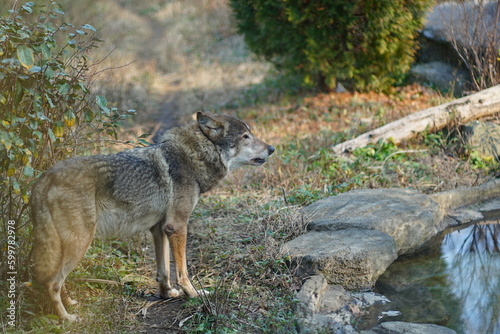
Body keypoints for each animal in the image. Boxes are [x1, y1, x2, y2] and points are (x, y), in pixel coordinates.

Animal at [31, 112, 276, 320]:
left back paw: (71, 304)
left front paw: (168, 294)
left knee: (58, 280)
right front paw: (193, 294)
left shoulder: (160, 228)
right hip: (80, 243)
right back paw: (67, 318)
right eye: (246, 136)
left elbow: (164, 270)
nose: (272, 148)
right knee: (52, 282)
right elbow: (183, 271)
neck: (193, 156)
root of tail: (46, 176)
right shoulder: (177, 226)